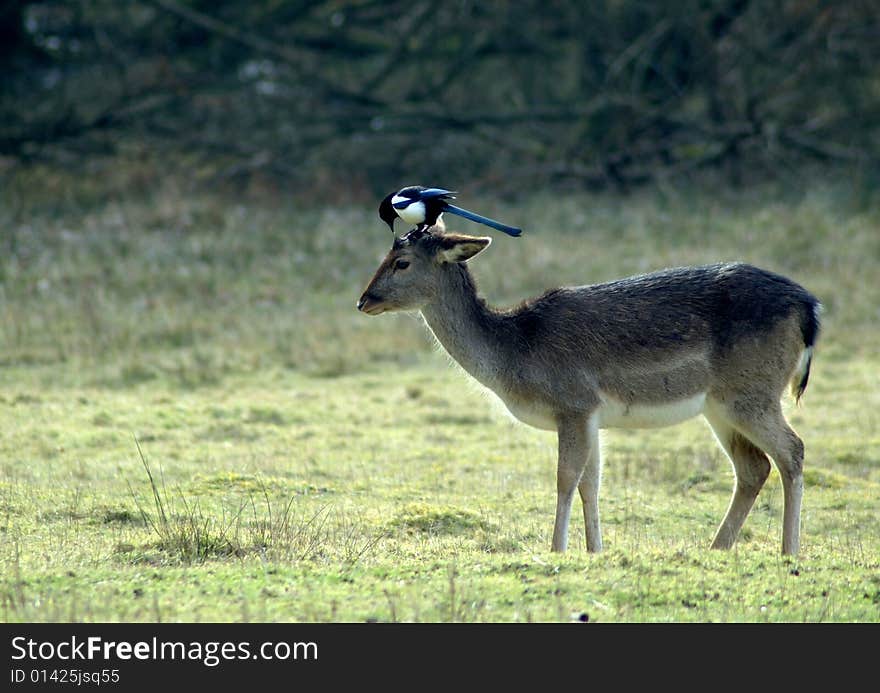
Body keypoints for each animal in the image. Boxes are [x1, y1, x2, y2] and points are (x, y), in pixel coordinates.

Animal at [354, 224, 820, 556]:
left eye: (401, 261)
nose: (364, 300)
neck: (516, 353)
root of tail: (810, 308)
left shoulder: (573, 402)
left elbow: (565, 477)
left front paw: (557, 549)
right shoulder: (593, 414)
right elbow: (591, 482)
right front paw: (595, 551)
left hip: (751, 392)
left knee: (792, 450)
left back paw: (789, 551)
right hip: (720, 406)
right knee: (753, 466)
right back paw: (716, 548)